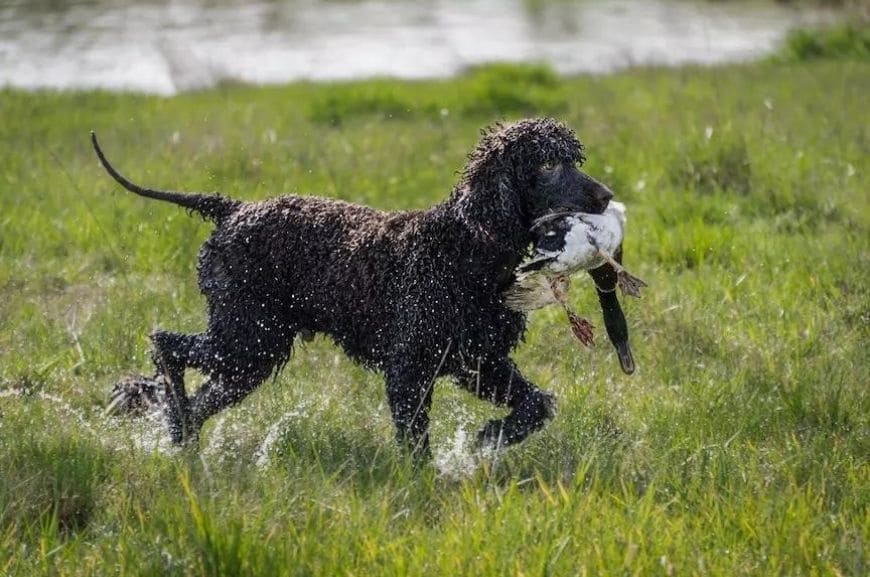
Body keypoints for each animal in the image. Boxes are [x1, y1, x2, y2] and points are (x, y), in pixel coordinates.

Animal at [92, 118, 612, 460]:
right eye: (548, 163)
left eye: (574, 159)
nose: (607, 196)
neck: (467, 246)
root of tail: (233, 208)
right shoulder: (409, 371)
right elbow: (415, 448)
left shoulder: (479, 361)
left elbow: (537, 406)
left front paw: (490, 439)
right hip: (247, 337)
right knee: (165, 344)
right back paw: (174, 418)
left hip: (252, 352)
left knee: (194, 396)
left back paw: (182, 439)